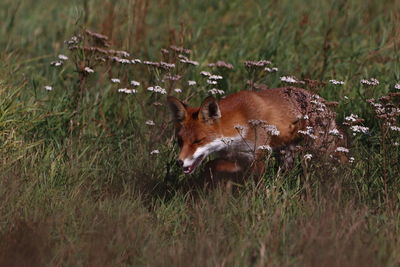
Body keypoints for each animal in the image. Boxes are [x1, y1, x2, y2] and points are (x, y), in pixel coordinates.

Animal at [167, 87, 346, 179]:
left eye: (198, 141)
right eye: (180, 141)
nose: (179, 162)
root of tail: (323, 103)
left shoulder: (256, 157)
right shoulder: (237, 156)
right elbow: (214, 164)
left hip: (321, 152)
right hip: (286, 154)